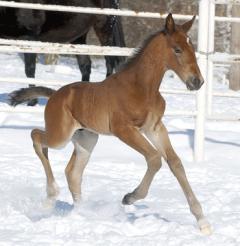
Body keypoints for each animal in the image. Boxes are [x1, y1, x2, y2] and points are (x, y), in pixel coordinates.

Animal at [10, 13, 211, 234]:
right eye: (177, 49)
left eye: (192, 49)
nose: (197, 82)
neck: (142, 87)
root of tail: (54, 95)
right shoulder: (123, 129)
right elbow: (154, 158)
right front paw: (129, 197)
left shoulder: (155, 128)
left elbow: (175, 163)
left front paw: (203, 221)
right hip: (60, 136)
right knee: (36, 136)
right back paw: (51, 196)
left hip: (87, 140)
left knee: (73, 173)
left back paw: (82, 212)